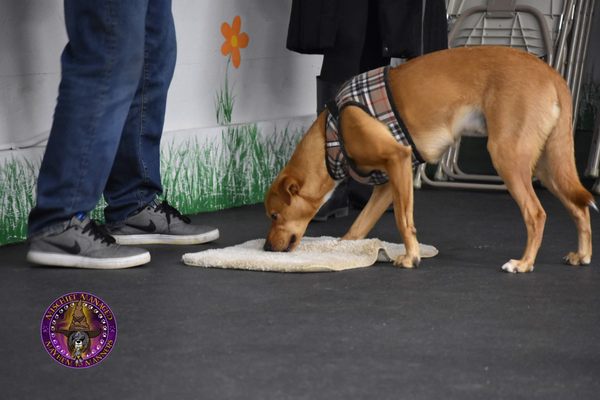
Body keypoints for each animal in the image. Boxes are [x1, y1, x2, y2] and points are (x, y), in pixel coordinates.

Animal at [264, 46, 596, 272]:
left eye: (274, 216)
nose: (267, 247)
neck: (332, 134)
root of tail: (552, 73)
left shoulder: (398, 159)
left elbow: (403, 220)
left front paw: (410, 257)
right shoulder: (388, 183)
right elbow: (358, 227)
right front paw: (341, 250)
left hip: (508, 157)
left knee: (536, 213)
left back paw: (524, 263)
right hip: (548, 165)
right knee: (579, 207)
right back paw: (582, 255)